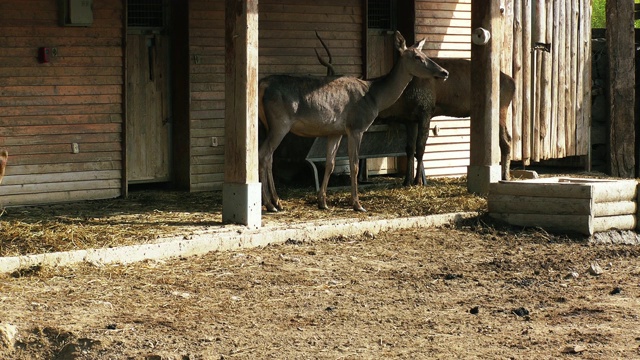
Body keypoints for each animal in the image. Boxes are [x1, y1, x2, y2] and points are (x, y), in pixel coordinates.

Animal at [258, 31, 448, 212]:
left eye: (425, 54)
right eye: (417, 57)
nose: (444, 72)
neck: (375, 98)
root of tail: (262, 85)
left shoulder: (335, 131)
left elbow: (330, 164)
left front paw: (322, 202)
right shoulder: (356, 126)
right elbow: (354, 165)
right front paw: (357, 204)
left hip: (267, 124)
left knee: (270, 156)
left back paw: (277, 202)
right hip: (280, 122)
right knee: (264, 154)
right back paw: (269, 204)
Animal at [318, 35, 516, 186]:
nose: (443, 73)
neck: (402, 101)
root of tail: (513, 83)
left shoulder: (426, 110)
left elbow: (420, 147)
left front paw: (418, 181)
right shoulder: (409, 119)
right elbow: (409, 148)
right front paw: (406, 181)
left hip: (500, 109)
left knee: (506, 140)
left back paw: (505, 176)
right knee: (508, 138)